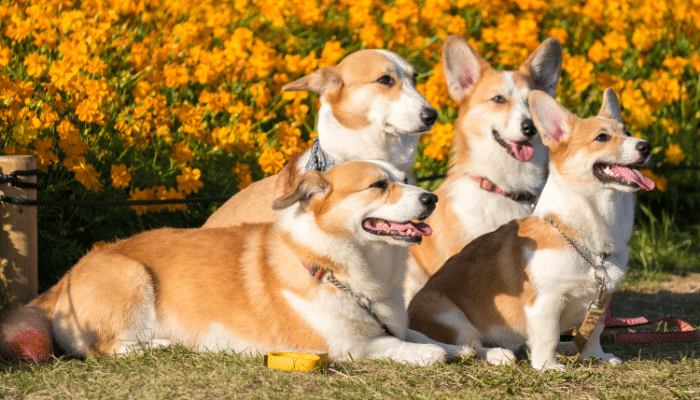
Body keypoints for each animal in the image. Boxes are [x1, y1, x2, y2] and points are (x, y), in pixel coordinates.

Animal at [404, 89, 656, 370]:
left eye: (627, 132)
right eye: (601, 137)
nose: (646, 146)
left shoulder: (601, 299)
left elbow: (593, 334)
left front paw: (597, 357)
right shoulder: (545, 302)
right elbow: (548, 336)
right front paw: (548, 366)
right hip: (448, 314)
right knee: (472, 345)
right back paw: (498, 354)